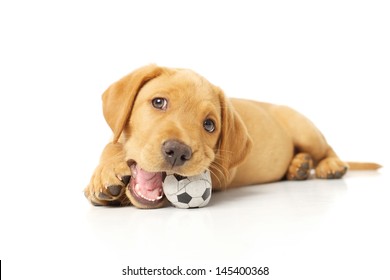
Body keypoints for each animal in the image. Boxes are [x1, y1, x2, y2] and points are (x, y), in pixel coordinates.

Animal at [84, 64, 380, 208]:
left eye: (209, 125)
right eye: (158, 102)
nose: (178, 151)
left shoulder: (220, 170)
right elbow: (111, 146)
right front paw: (104, 176)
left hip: (304, 129)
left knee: (328, 149)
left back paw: (330, 165)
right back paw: (299, 166)